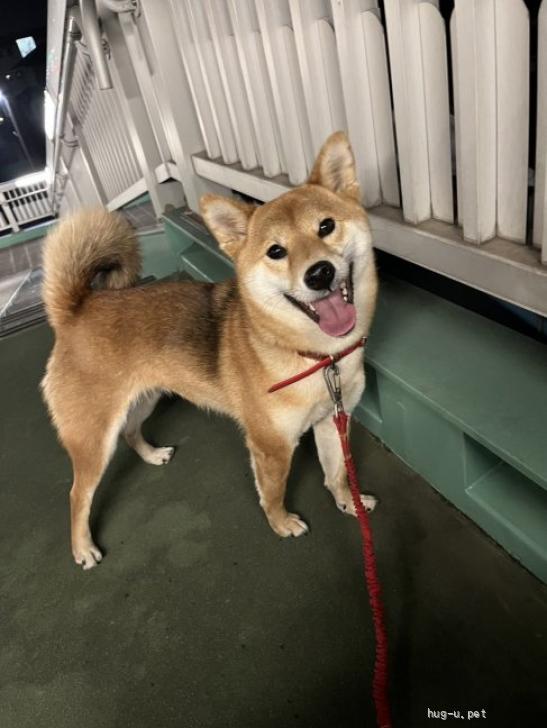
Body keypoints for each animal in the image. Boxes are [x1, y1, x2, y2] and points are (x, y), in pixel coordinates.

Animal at [41, 132, 378, 570]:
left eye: (326, 226)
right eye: (276, 251)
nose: (319, 273)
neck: (318, 358)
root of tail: (76, 309)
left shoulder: (333, 420)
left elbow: (337, 473)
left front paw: (348, 503)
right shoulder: (270, 446)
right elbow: (273, 493)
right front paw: (282, 524)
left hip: (143, 400)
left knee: (131, 432)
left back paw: (152, 455)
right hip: (94, 438)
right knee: (77, 494)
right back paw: (82, 548)